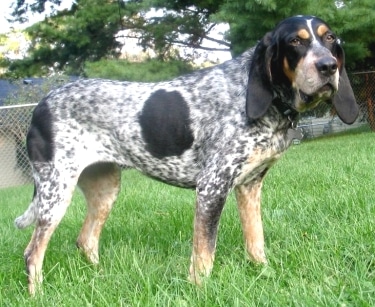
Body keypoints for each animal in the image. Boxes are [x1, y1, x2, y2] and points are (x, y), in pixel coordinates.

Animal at [16, 15, 358, 296]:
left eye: (330, 39)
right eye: (295, 42)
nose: (328, 66)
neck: (263, 100)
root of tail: (41, 105)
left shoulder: (250, 186)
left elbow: (256, 242)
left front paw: (265, 274)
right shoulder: (212, 188)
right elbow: (205, 252)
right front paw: (200, 289)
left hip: (105, 189)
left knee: (86, 240)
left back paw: (100, 279)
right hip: (56, 192)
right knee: (33, 253)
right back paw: (38, 296)